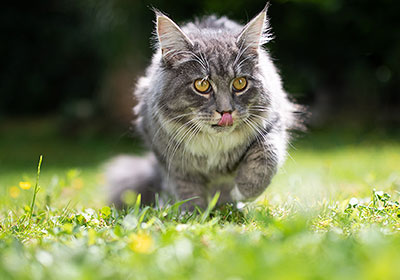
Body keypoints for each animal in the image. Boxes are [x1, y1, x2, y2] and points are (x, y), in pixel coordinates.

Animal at [104, 5, 298, 209]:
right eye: (202, 85)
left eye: (240, 83)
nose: (226, 111)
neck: (215, 144)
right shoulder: (173, 162)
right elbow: (187, 192)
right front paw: (194, 213)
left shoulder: (273, 124)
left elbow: (266, 157)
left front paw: (242, 192)